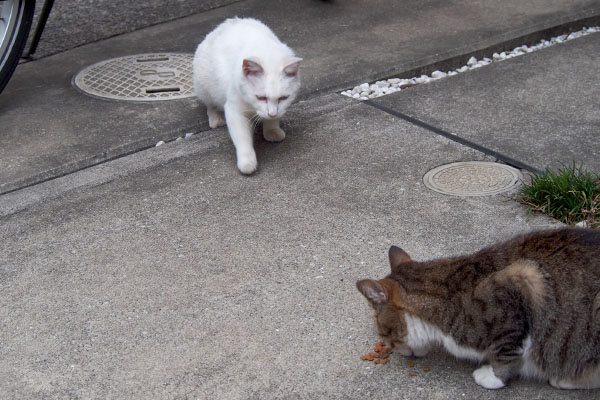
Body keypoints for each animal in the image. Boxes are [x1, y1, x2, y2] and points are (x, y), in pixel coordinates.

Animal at [192, 18, 302, 173]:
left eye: (283, 98)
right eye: (260, 97)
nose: (272, 113)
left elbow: (272, 121)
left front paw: (272, 130)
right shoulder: (234, 111)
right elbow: (242, 139)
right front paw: (247, 163)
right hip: (205, 88)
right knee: (210, 105)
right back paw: (216, 119)